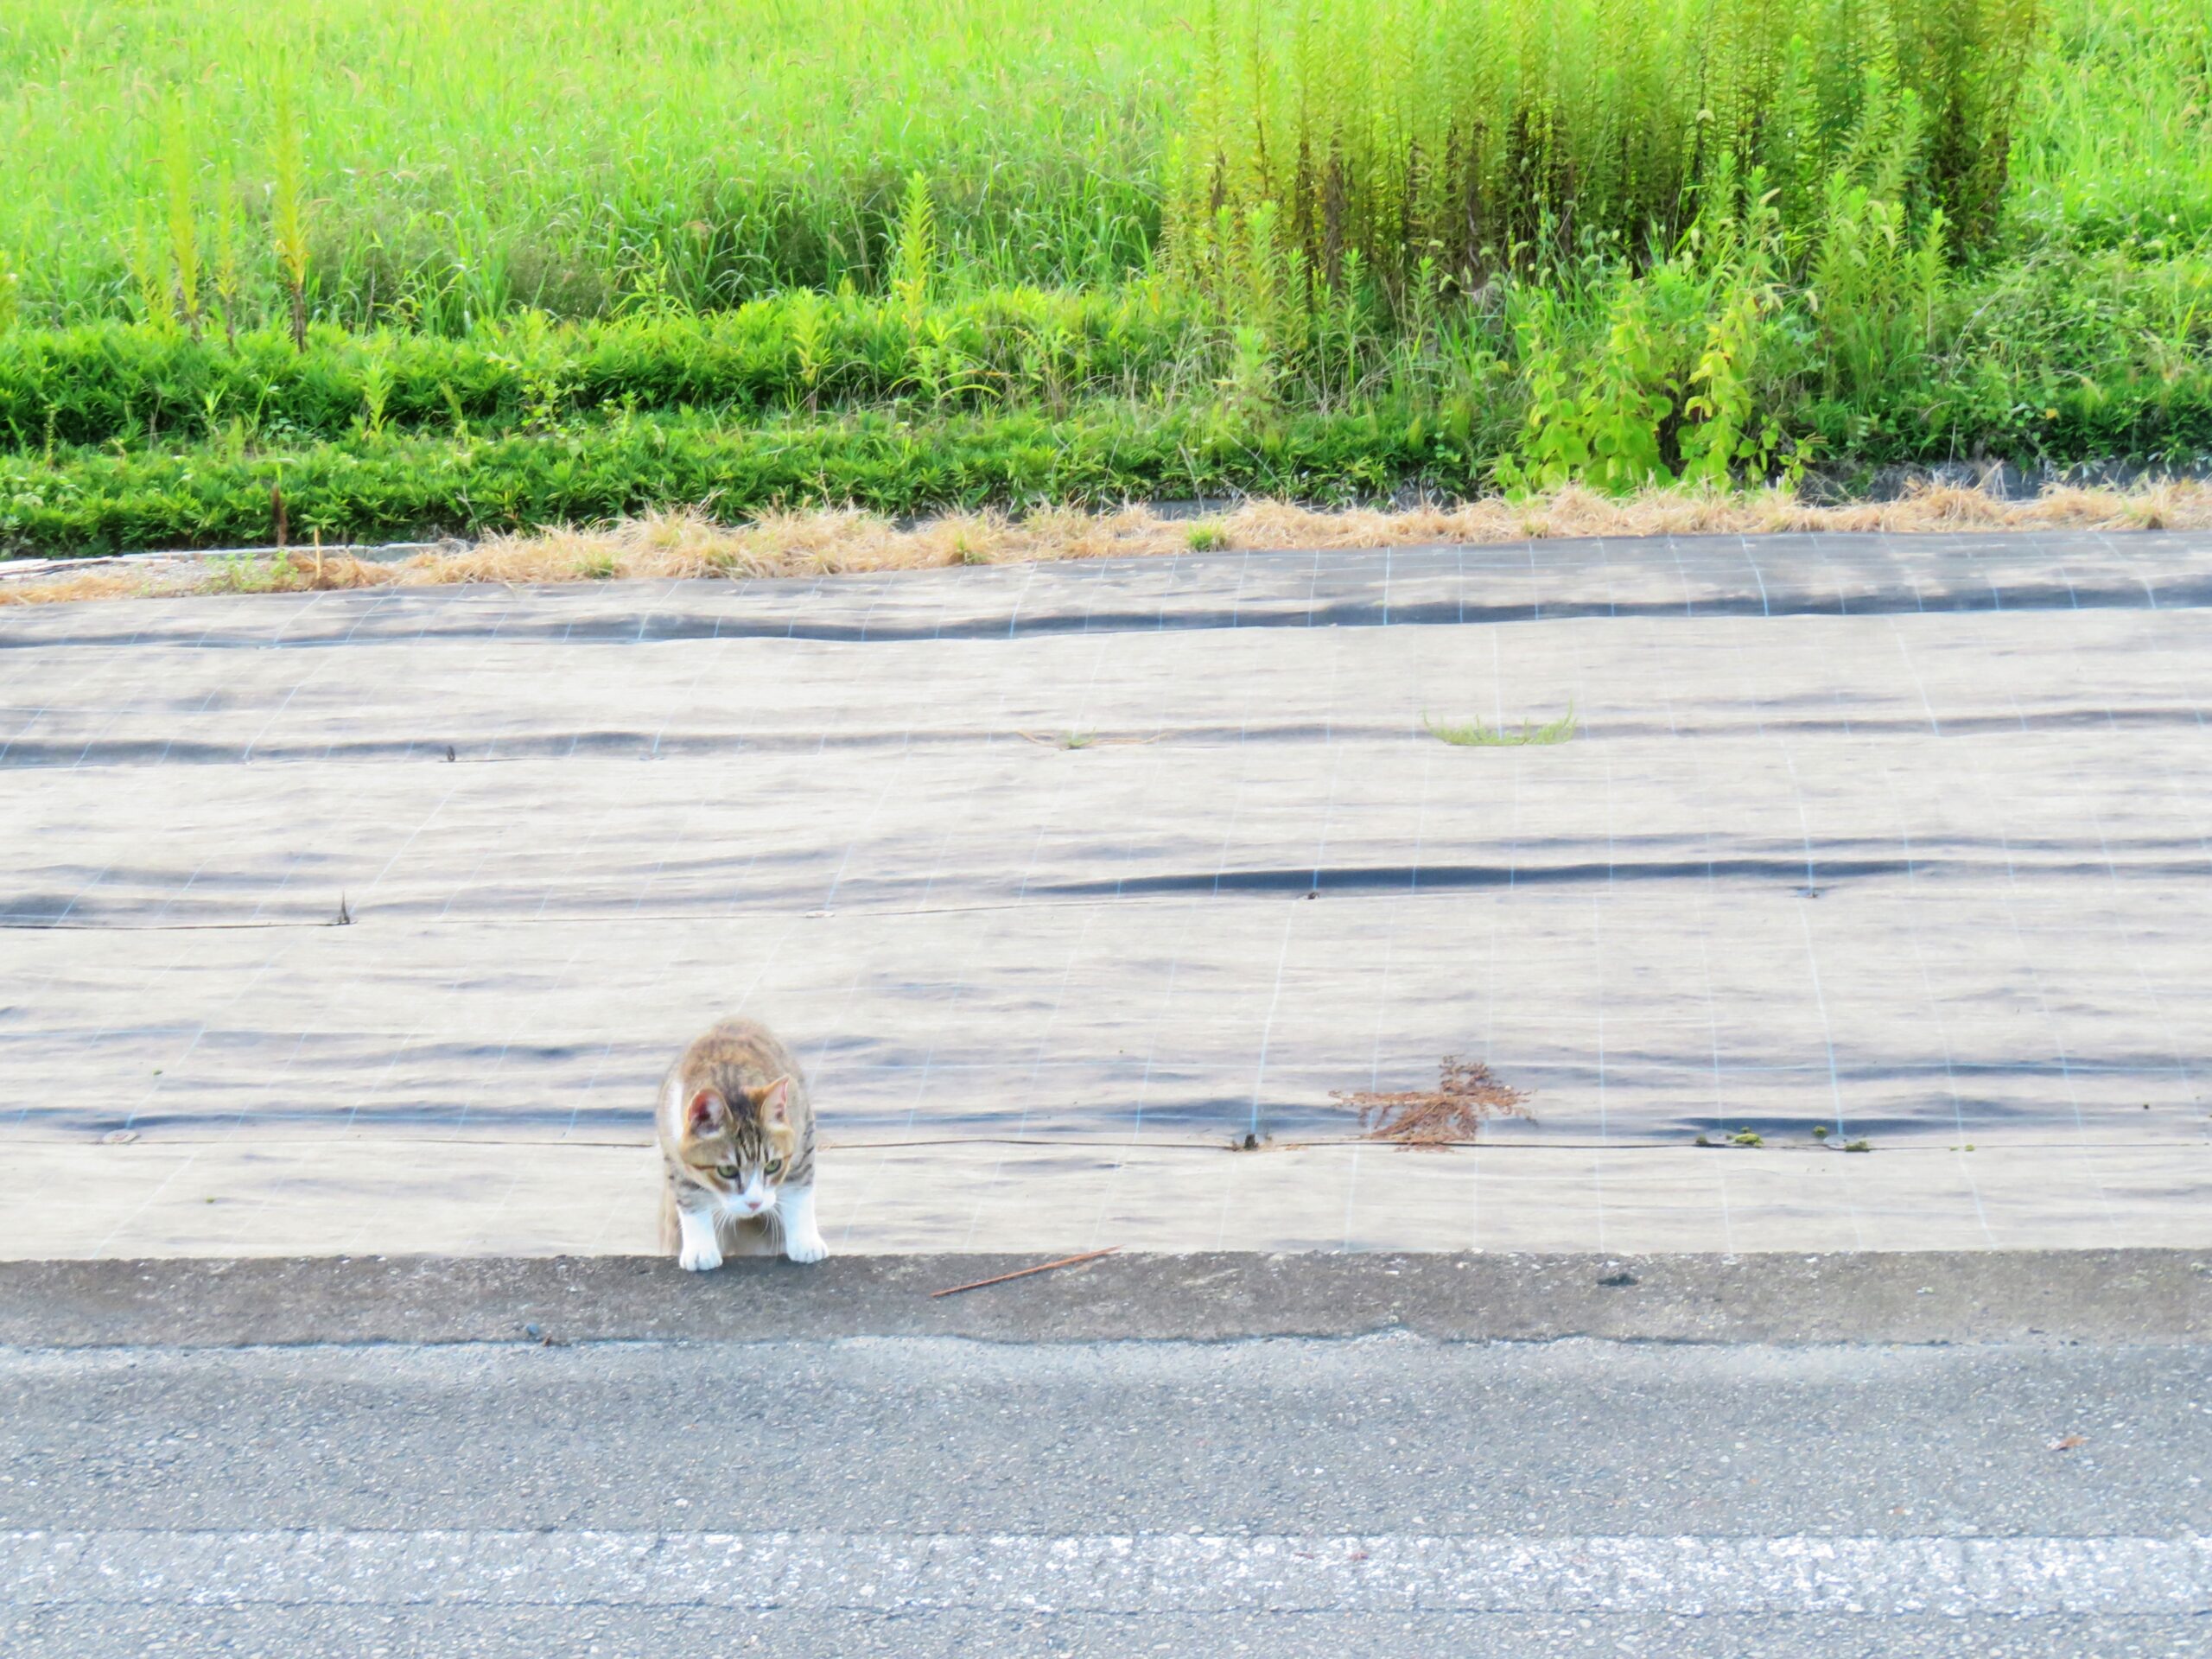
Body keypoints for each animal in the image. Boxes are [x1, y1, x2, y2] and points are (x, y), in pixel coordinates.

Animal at [658, 1013, 831, 1274]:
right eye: (727, 1170)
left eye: (773, 1165)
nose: (754, 1203)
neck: (729, 1080)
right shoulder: (674, 1150)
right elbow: (690, 1197)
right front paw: (701, 1250)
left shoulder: (804, 1136)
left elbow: (799, 1187)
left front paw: (805, 1243)